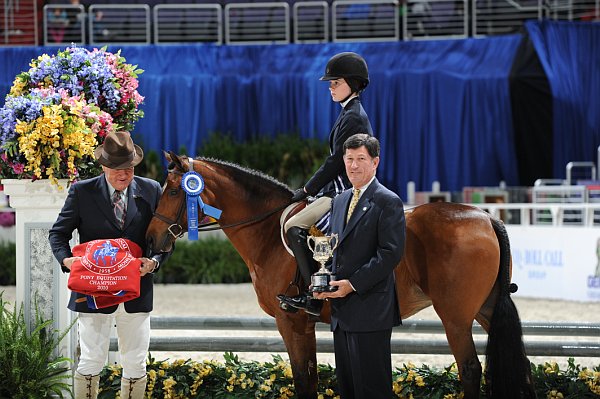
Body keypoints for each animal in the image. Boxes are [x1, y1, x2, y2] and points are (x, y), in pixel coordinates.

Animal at [144, 152, 536, 399]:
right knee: (519, 365)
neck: (267, 231)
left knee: (470, 369)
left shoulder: (292, 322)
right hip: (485, 309)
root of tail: (486, 217)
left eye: (176, 190)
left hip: (455, 315)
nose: (151, 240)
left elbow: (305, 380)